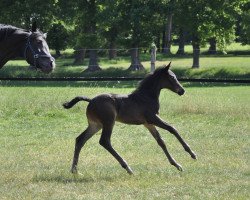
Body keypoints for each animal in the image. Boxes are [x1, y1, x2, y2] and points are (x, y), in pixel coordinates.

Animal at [63, 63, 196, 175]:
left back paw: (74, 170)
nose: (182, 91)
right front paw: (192, 153)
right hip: (109, 122)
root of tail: (91, 101)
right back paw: (127, 168)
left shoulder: (148, 123)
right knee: (104, 141)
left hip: (95, 125)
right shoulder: (153, 118)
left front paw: (176, 164)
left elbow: (160, 141)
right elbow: (172, 128)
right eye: (172, 77)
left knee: (80, 140)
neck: (146, 97)